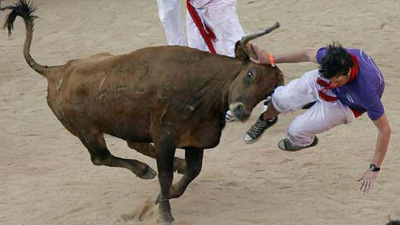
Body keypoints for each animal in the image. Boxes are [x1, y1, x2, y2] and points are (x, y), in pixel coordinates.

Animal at [2, 0, 284, 223]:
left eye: (267, 92)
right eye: (250, 73)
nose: (240, 111)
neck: (206, 87)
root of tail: (56, 71)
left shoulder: (195, 138)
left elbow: (192, 171)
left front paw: (166, 195)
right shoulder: (166, 137)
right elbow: (165, 176)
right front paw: (165, 213)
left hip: (125, 124)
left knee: (131, 145)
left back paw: (167, 165)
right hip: (87, 131)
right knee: (101, 157)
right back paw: (143, 170)